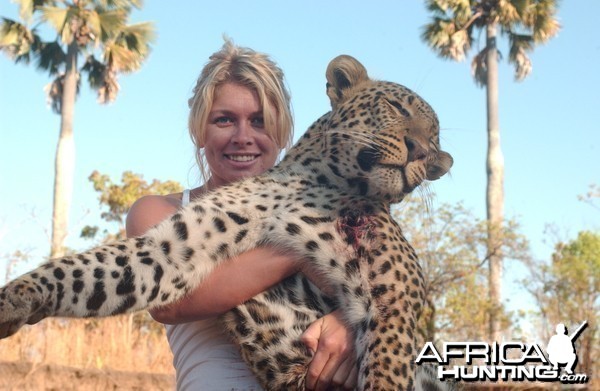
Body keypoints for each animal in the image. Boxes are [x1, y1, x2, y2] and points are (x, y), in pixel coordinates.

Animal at [0, 55, 454, 391]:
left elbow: (386, 372)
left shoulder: (398, 293)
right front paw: (16, 296)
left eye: (434, 141)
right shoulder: (178, 247)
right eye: (396, 108)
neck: (317, 180)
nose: (422, 153)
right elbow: (89, 271)